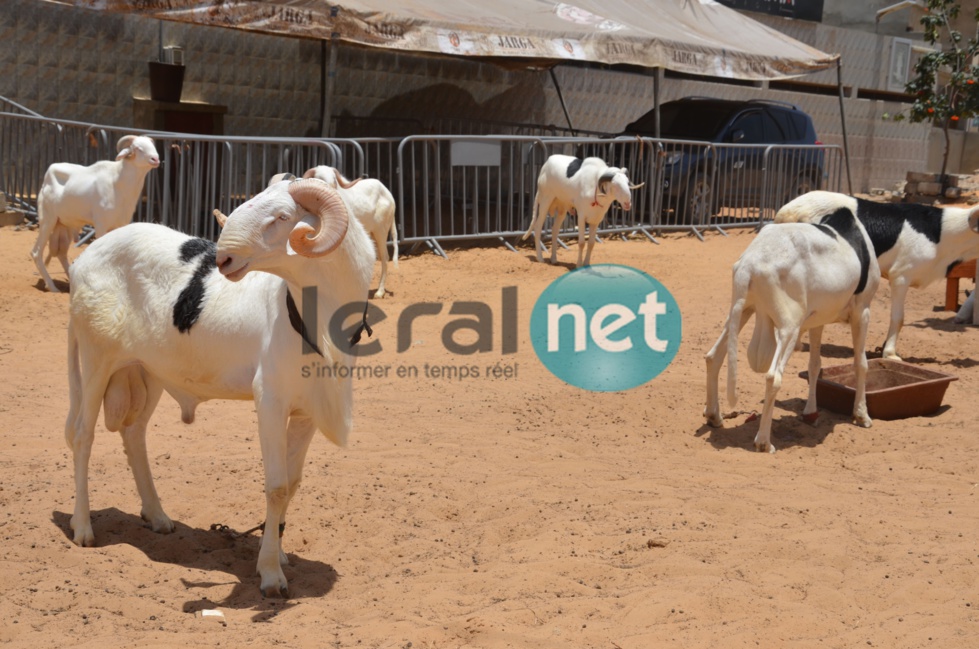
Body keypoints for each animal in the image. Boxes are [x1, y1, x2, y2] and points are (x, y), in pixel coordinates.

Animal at [31, 135, 161, 292]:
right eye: (137, 148)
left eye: (152, 145)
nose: (155, 159)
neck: (118, 183)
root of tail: (47, 176)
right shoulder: (101, 225)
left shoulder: (121, 224)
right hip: (47, 220)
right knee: (36, 253)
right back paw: (52, 287)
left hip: (64, 225)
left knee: (61, 253)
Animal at [62, 175, 376, 596]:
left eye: (282, 216)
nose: (223, 259)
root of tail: (84, 258)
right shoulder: (270, 401)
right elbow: (276, 486)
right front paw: (270, 574)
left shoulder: (306, 412)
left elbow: (292, 483)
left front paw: (278, 553)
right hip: (96, 360)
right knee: (83, 436)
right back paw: (82, 528)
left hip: (148, 370)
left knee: (134, 434)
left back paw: (157, 516)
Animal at [304, 167, 400, 298]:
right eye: (319, 178)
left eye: (334, 179)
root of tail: (389, 195)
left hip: (381, 231)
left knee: (385, 257)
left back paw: (380, 292)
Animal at [704, 210, 880, 454]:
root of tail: (750, 263)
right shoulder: (863, 310)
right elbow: (861, 364)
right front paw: (862, 414)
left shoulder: (817, 320)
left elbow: (815, 366)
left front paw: (811, 412)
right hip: (790, 327)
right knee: (773, 376)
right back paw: (763, 442)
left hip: (743, 310)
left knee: (714, 356)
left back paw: (714, 416)